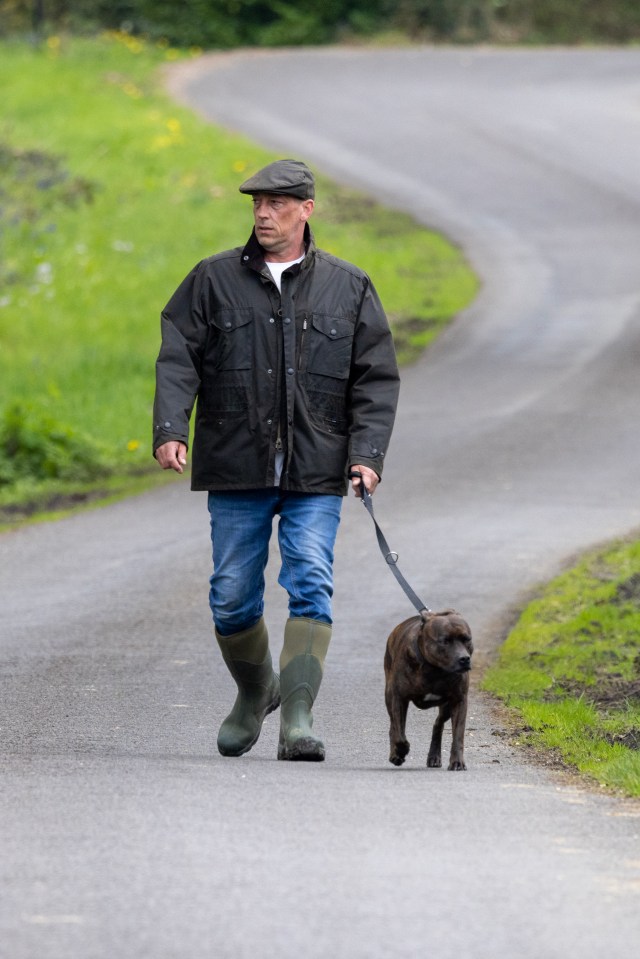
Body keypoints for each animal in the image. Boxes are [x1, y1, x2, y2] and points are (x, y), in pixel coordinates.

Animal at [382, 612, 472, 768]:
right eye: (445, 641)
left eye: (466, 639)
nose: (464, 658)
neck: (434, 669)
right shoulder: (398, 698)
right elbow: (399, 733)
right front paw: (401, 750)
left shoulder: (459, 700)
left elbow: (458, 735)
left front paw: (457, 762)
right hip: (389, 696)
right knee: (393, 726)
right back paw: (395, 753)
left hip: (447, 707)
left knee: (438, 724)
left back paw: (434, 756)